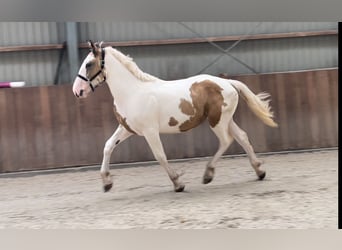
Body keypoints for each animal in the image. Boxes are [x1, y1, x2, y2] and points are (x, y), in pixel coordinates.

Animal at [72, 41, 278, 193]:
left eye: (88, 64)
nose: (77, 91)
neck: (132, 93)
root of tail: (227, 82)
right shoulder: (127, 129)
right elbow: (108, 146)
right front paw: (107, 183)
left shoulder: (150, 131)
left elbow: (160, 155)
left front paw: (178, 183)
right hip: (225, 119)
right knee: (242, 137)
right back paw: (260, 171)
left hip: (217, 121)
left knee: (226, 141)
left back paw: (208, 174)